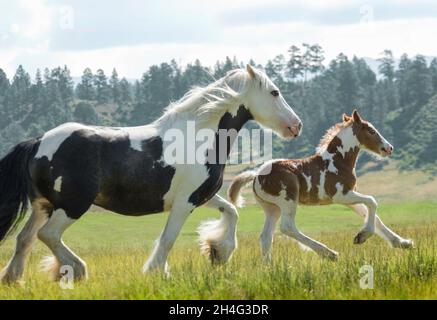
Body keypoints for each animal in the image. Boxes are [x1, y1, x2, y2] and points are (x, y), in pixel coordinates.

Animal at [228, 110, 412, 260]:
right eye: (372, 130)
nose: (389, 148)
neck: (338, 161)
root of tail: (256, 175)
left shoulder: (350, 198)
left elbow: (371, 212)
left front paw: (403, 243)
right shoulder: (341, 196)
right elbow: (372, 201)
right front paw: (361, 236)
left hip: (272, 208)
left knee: (266, 237)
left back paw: (269, 268)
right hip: (288, 200)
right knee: (287, 228)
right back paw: (329, 253)